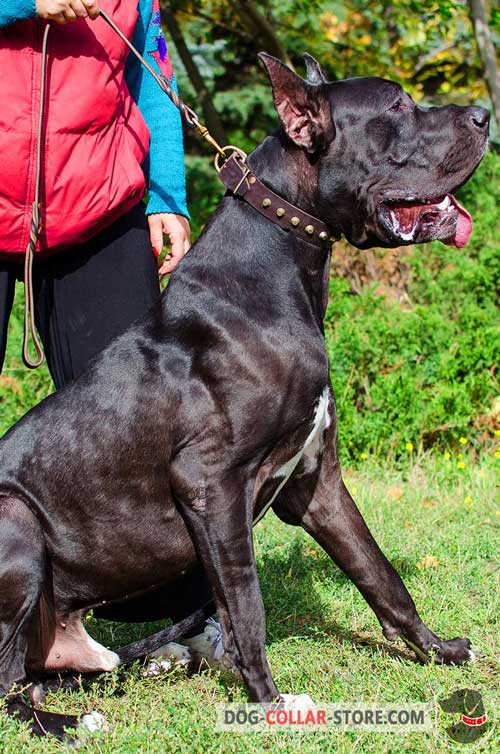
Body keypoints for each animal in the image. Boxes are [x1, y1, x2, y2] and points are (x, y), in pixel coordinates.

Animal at [0, 53, 488, 736]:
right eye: (395, 107)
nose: (485, 115)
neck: (281, 264)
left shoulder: (316, 481)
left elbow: (379, 572)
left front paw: (437, 649)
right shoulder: (211, 482)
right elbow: (246, 601)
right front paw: (269, 701)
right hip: (14, 518)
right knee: (6, 682)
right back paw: (69, 723)